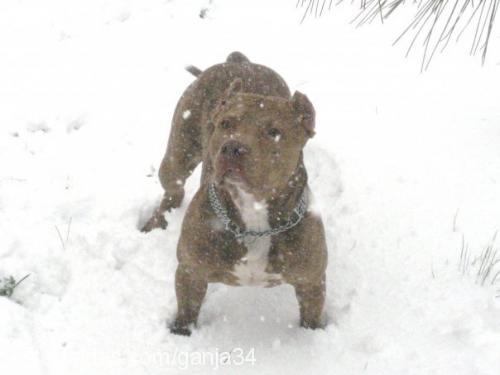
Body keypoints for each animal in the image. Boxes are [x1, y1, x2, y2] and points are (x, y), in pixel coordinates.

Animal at [142, 51, 328, 336]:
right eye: (226, 123)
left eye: (274, 132)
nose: (232, 148)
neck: (254, 216)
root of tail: (238, 60)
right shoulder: (191, 271)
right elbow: (186, 311)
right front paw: (181, 334)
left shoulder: (311, 281)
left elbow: (311, 319)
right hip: (178, 154)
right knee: (173, 189)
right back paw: (156, 222)